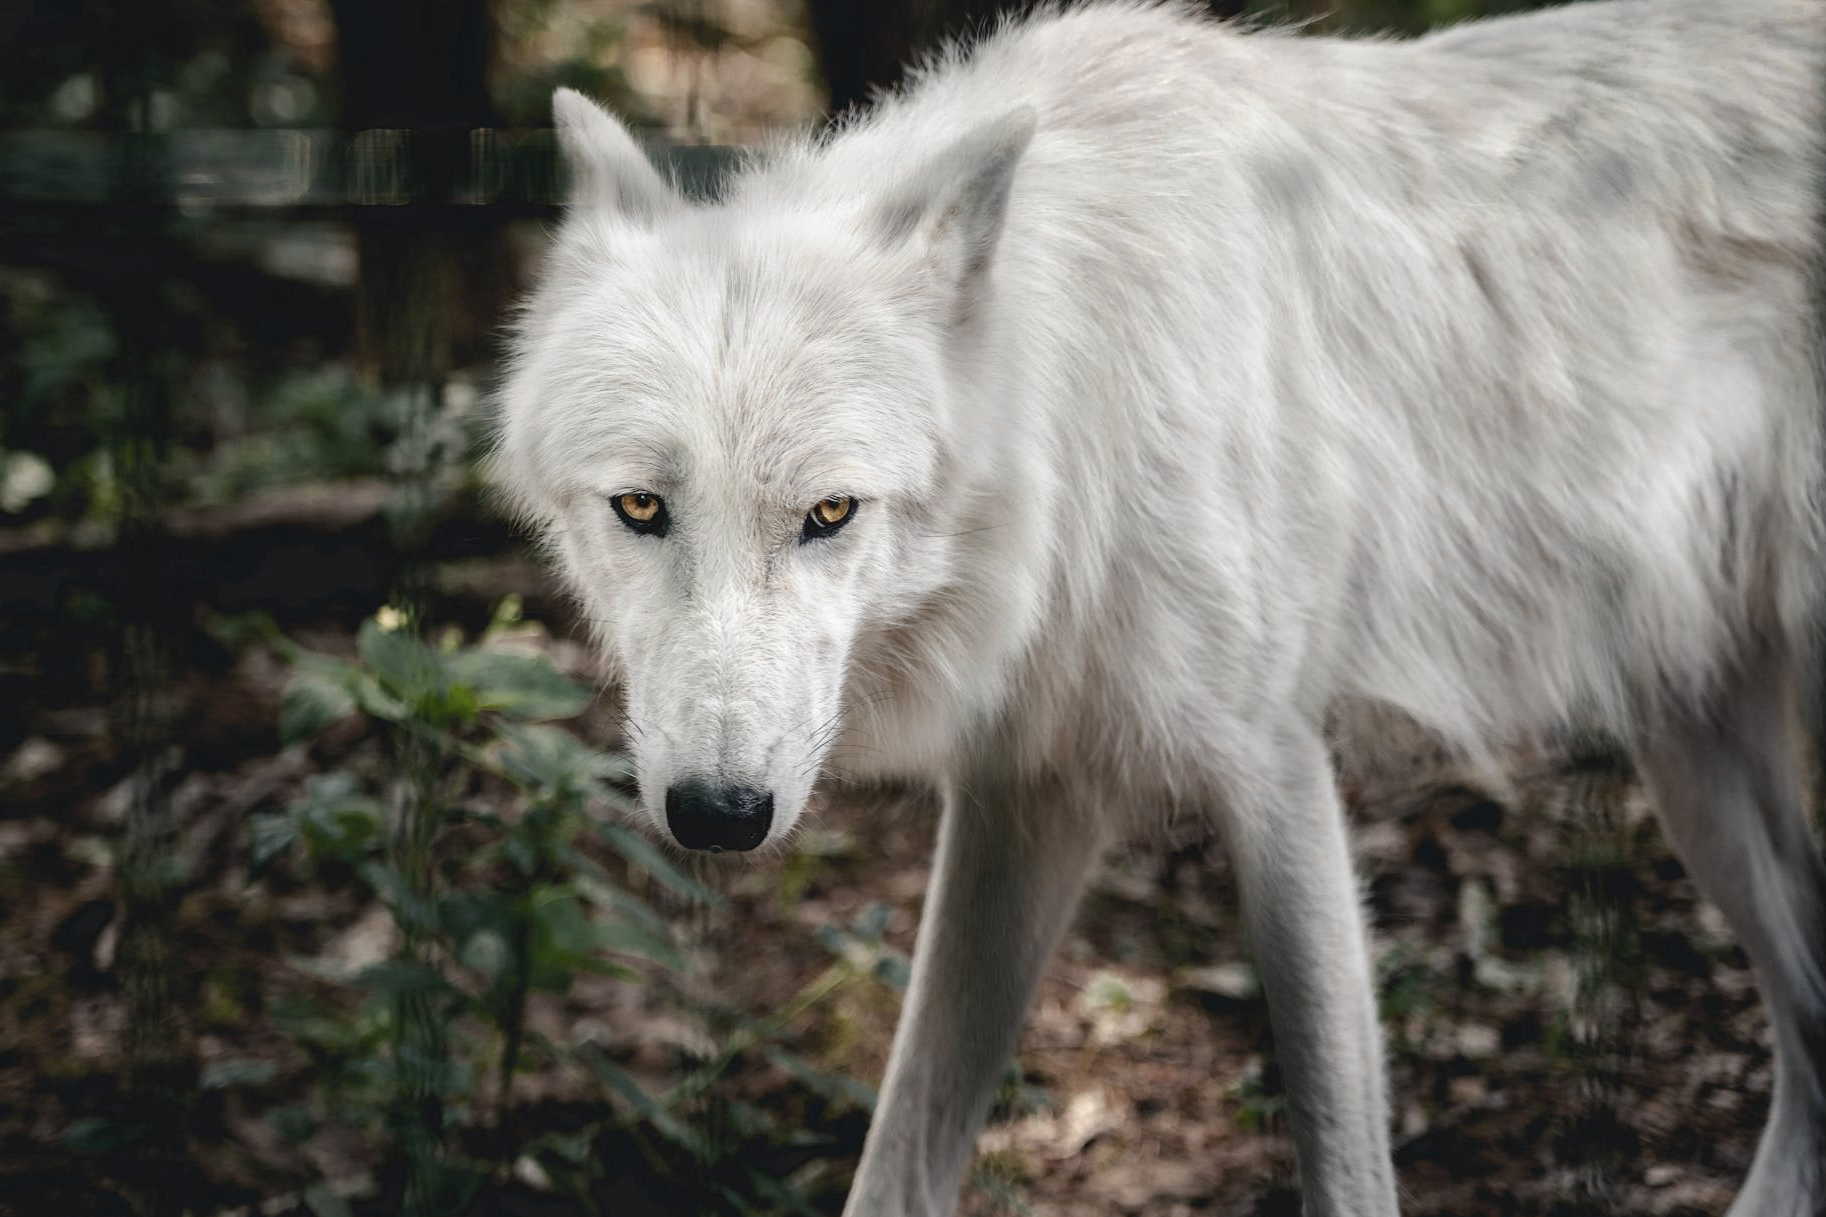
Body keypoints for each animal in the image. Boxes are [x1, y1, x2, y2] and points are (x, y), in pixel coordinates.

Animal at [493, 0, 1818, 1206]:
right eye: (640, 507)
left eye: (829, 512)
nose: (718, 813)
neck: (1081, 408)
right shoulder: (1024, 792)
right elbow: (900, 1156)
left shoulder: (1273, 770)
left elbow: (1341, 1153)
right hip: (1690, 757)